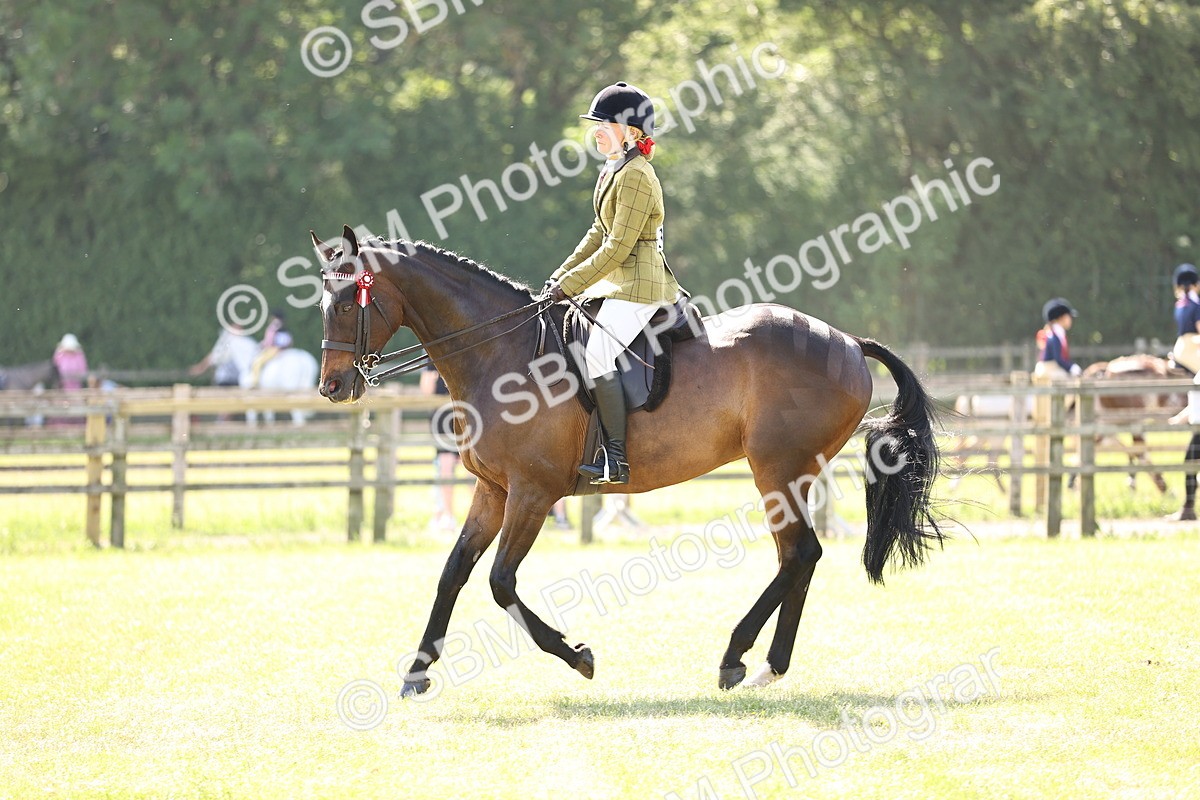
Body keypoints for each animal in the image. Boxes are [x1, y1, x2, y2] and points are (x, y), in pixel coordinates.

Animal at [312, 227, 943, 696]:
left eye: (345, 302)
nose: (333, 387)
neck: (501, 356)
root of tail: (847, 341)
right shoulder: (493, 490)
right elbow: (453, 574)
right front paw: (416, 672)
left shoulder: (533, 493)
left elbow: (499, 582)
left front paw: (577, 655)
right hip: (790, 473)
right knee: (800, 557)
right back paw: (767, 665)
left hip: (778, 470)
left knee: (800, 553)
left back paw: (736, 656)